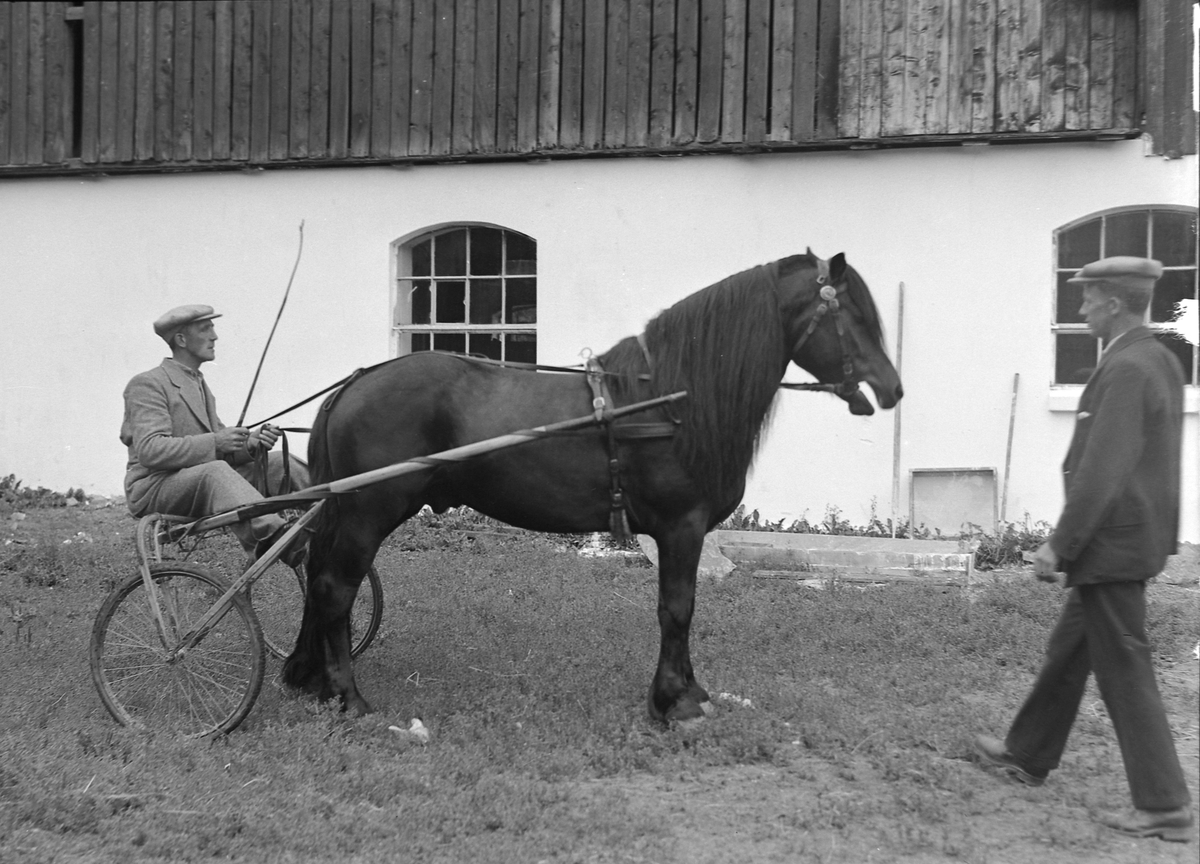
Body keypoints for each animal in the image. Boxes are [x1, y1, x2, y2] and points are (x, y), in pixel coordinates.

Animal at [283, 249, 902, 720]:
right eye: (852, 315)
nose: (893, 388)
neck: (669, 400)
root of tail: (354, 385)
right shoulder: (681, 527)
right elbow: (677, 608)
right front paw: (673, 702)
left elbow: (684, 607)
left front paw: (690, 691)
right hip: (367, 515)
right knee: (334, 588)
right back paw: (348, 697)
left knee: (318, 580)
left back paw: (310, 678)